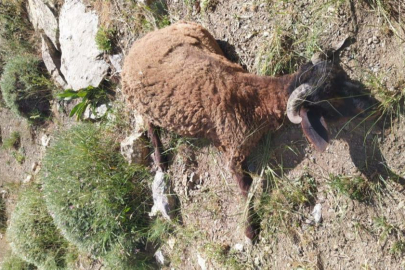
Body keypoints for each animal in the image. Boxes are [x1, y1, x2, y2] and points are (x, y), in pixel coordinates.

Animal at [120, 21, 378, 238]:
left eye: (343, 76)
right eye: (329, 98)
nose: (372, 103)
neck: (250, 97)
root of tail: (135, 47)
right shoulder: (235, 154)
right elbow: (245, 188)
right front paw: (250, 230)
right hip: (141, 105)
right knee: (148, 125)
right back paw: (160, 159)